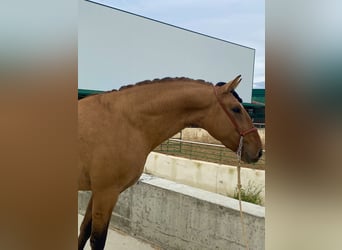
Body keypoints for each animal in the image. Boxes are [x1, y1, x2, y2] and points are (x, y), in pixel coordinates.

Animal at [79, 75, 264, 249]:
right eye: (236, 109)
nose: (258, 150)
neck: (126, 122)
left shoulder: (99, 192)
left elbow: (84, 232)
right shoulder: (106, 193)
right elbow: (96, 239)